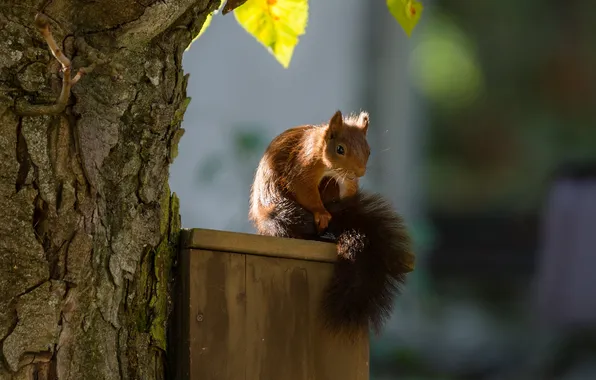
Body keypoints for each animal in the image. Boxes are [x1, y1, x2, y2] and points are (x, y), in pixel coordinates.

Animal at [248, 109, 414, 338]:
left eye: (368, 150)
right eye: (340, 149)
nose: (359, 172)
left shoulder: (345, 181)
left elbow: (348, 191)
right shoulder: (302, 165)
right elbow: (304, 190)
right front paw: (322, 213)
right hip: (281, 214)